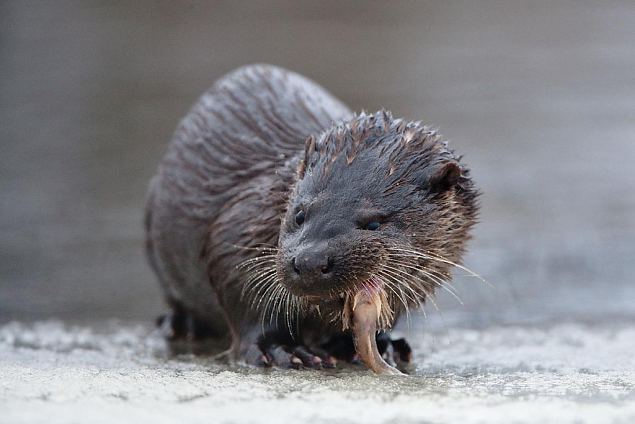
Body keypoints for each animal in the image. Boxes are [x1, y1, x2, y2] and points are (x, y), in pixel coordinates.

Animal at [147, 63, 480, 374]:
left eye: (374, 222)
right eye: (299, 214)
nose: (310, 261)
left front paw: (383, 345)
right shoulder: (240, 224)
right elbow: (246, 295)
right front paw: (281, 349)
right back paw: (181, 324)